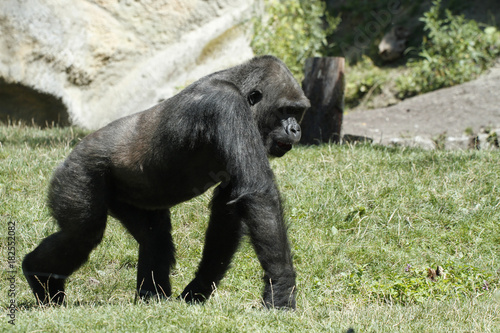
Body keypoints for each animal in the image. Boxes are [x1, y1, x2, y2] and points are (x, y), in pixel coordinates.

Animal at [22, 55, 308, 308]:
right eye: (286, 110)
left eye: (299, 113)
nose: (296, 129)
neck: (238, 86)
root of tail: (68, 156)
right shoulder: (226, 106)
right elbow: (258, 192)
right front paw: (282, 289)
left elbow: (229, 204)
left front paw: (198, 289)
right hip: (78, 172)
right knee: (81, 234)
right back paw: (39, 276)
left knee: (153, 238)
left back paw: (152, 297)